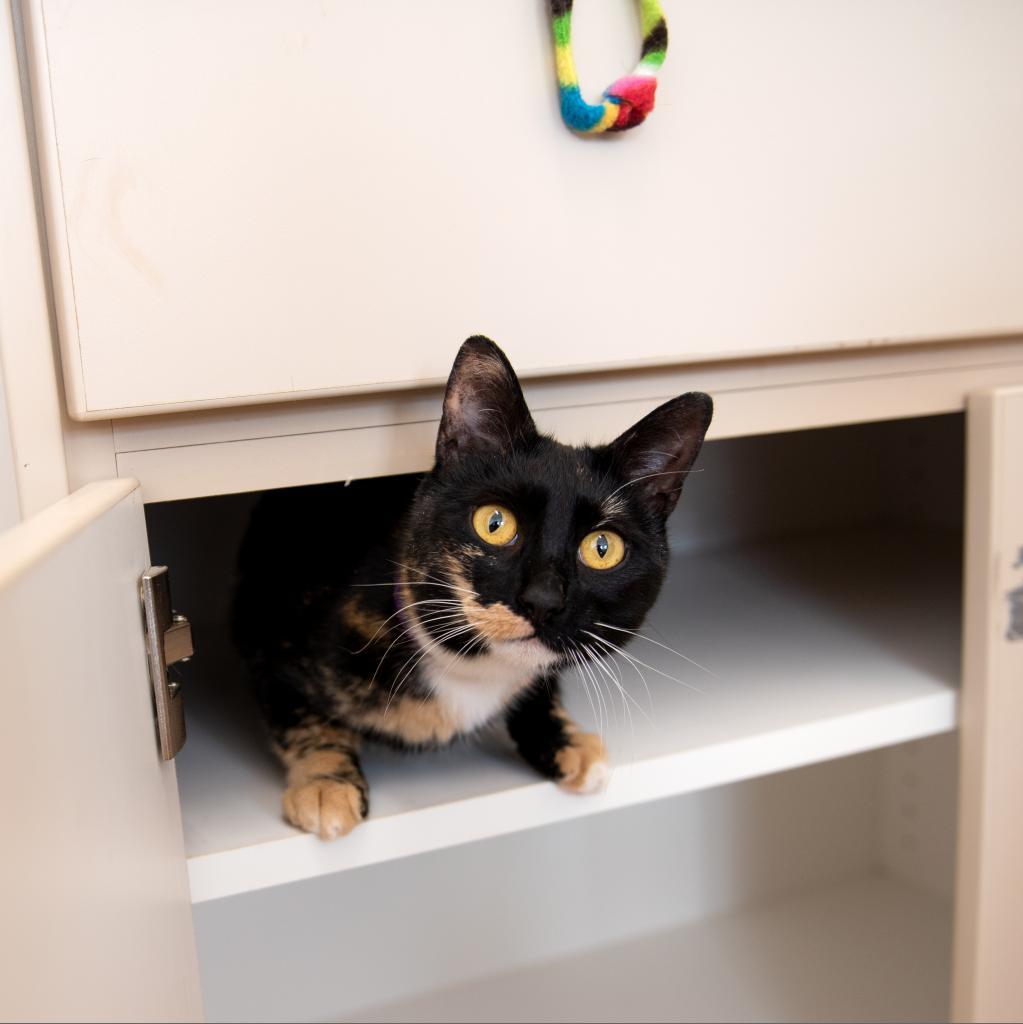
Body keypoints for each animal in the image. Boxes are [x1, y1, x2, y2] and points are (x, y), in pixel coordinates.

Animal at [232, 337, 712, 839]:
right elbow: (300, 715)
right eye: (494, 523)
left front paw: (565, 740)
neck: (470, 671)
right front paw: (326, 783)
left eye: (602, 548)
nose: (543, 601)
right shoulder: (263, 627)